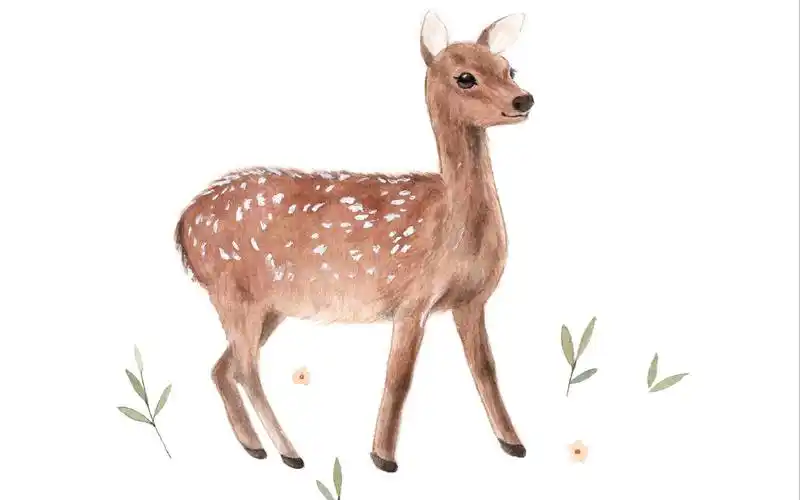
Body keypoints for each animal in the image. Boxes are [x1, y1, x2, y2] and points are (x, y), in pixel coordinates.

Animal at [174, 11, 535, 473]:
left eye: (510, 69)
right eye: (465, 77)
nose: (524, 100)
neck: (447, 225)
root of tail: (184, 224)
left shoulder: (471, 302)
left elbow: (487, 370)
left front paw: (514, 443)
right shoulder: (412, 298)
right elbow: (400, 378)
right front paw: (383, 457)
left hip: (266, 305)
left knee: (224, 368)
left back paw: (255, 447)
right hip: (232, 291)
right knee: (247, 369)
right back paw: (291, 453)